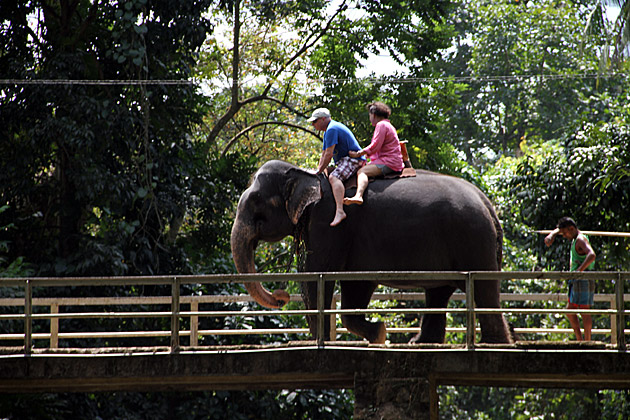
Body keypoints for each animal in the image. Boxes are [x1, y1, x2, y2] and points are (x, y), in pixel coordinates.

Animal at [232, 159, 512, 342]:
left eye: (256, 202)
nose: (282, 297)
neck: (309, 174)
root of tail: (488, 204)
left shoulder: (330, 224)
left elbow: (318, 275)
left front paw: (320, 343)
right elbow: (356, 284)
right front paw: (379, 334)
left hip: (473, 242)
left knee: (484, 290)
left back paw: (493, 344)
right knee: (439, 293)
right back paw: (421, 344)